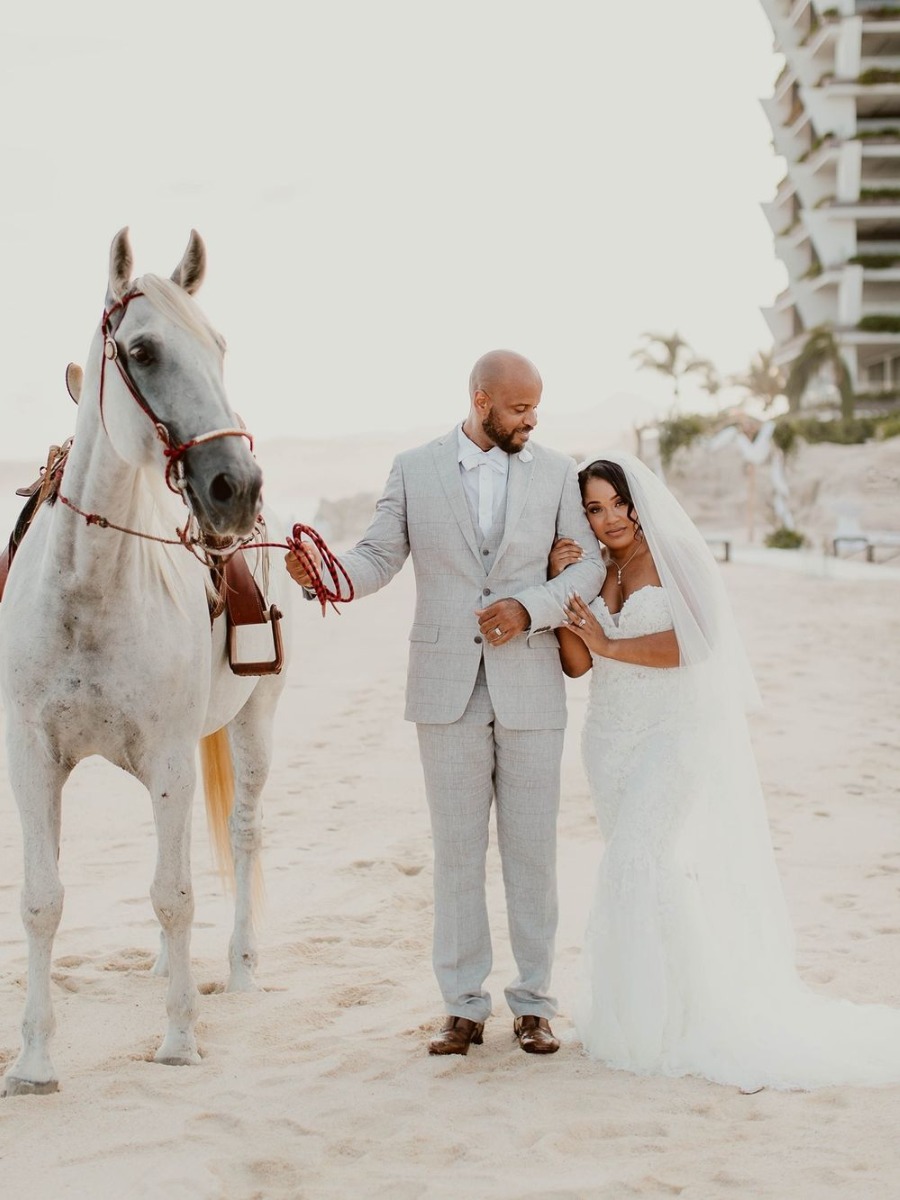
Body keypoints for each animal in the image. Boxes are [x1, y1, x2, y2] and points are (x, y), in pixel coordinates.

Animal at [0, 226, 290, 1099]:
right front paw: (33, 1061)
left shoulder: (168, 754)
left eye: (219, 346)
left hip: (255, 725)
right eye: (144, 351)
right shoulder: (33, 757)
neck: (91, 587)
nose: (236, 487)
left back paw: (238, 966)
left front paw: (180, 1038)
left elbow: (176, 893)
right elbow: (42, 901)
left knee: (243, 833)